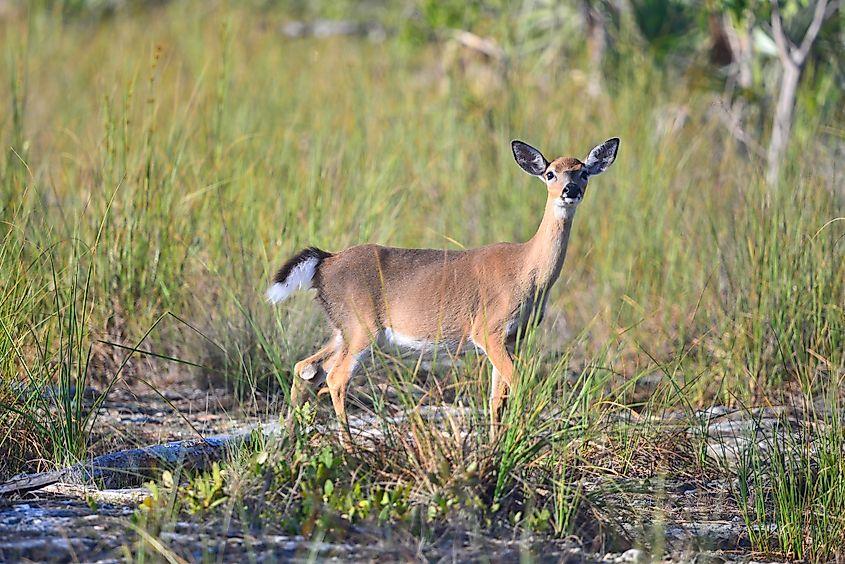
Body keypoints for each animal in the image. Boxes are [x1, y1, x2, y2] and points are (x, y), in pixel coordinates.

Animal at [267, 137, 619, 445]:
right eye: (550, 173)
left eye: (583, 171)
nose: (570, 190)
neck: (527, 271)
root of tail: (324, 262)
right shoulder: (487, 329)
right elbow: (518, 384)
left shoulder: (511, 338)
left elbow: (496, 398)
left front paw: (496, 448)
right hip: (361, 327)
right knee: (335, 378)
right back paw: (348, 448)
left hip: (343, 329)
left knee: (306, 367)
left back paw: (291, 440)